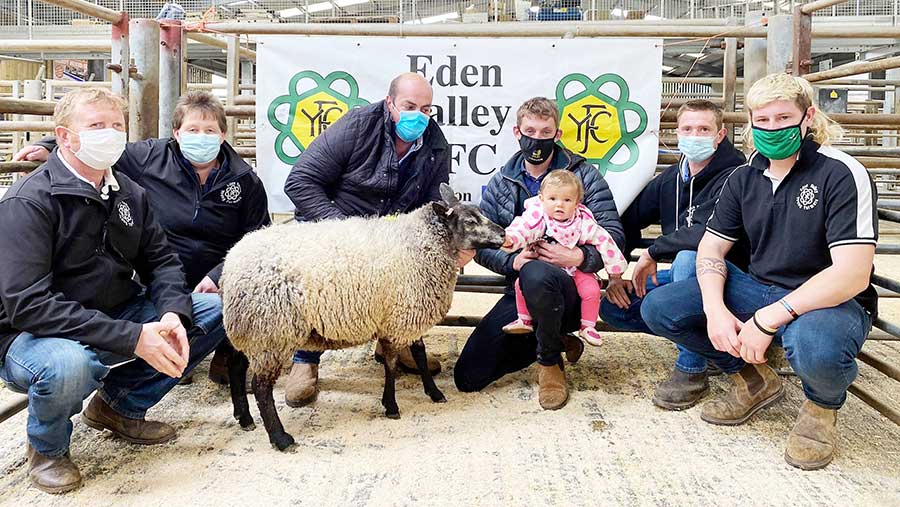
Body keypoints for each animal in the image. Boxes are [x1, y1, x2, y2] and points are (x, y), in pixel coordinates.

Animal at [219, 185, 506, 450]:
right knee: (260, 387)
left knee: (235, 365)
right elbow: (391, 364)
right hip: (271, 332)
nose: (503, 233)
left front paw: (434, 392)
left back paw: (244, 417)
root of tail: (231, 263)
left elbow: (420, 354)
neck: (421, 242)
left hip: (247, 328)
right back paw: (280, 438)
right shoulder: (398, 318)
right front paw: (391, 405)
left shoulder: (408, 313)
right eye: (470, 221)